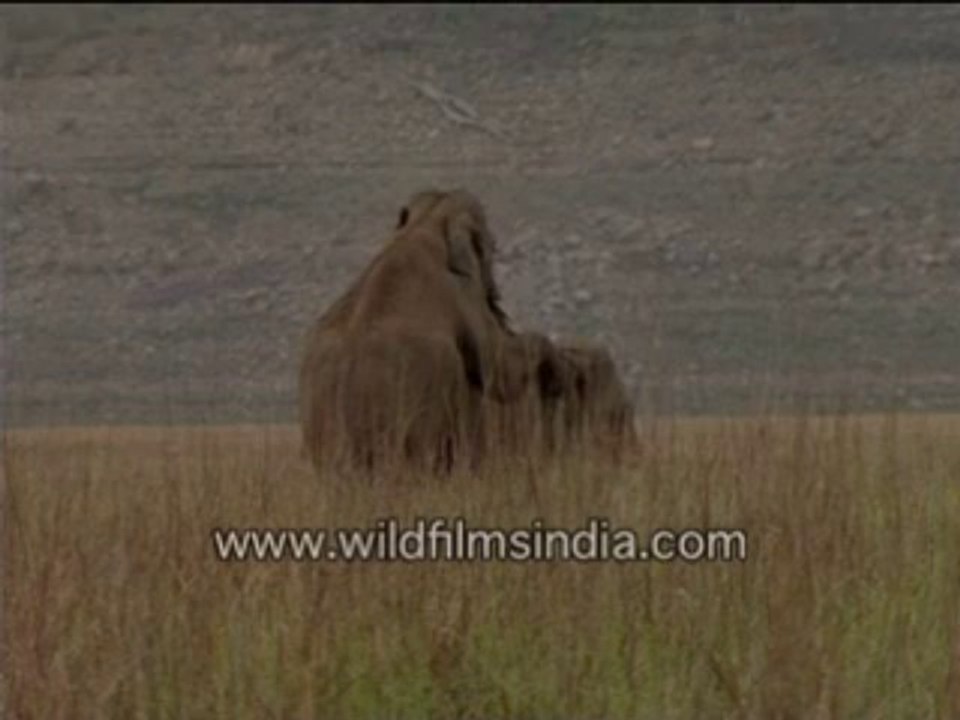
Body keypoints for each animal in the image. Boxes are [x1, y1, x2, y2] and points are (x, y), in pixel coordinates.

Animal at [298, 189, 569, 478]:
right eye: (490, 245)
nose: (496, 297)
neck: (427, 221)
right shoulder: (462, 293)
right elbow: (498, 364)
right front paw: (556, 377)